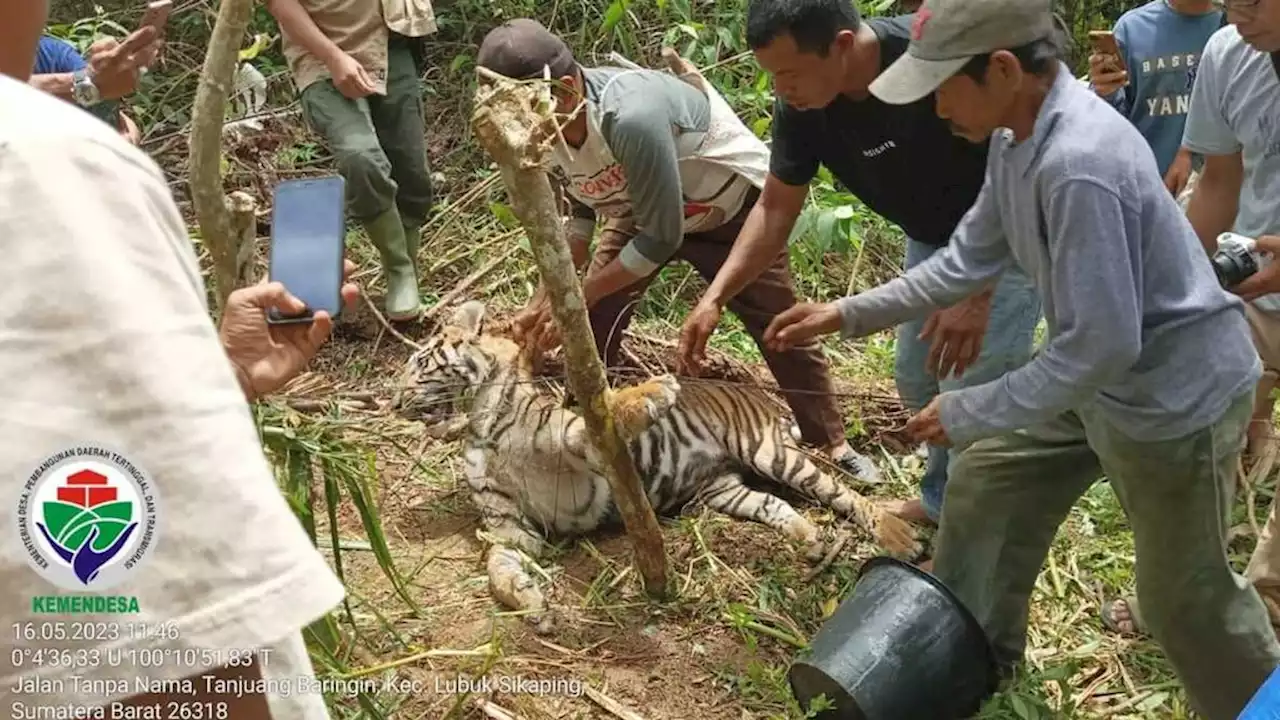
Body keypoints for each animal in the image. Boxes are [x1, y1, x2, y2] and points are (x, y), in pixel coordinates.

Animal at [389, 299, 921, 630]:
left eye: (420, 364)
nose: (391, 401)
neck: (481, 428)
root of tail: (761, 398)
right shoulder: (511, 531)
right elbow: (498, 568)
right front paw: (531, 602)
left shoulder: (582, 447)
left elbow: (602, 413)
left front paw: (654, 391)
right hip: (722, 489)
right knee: (776, 506)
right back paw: (809, 540)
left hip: (769, 453)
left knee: (842, 493)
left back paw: (900, 536)